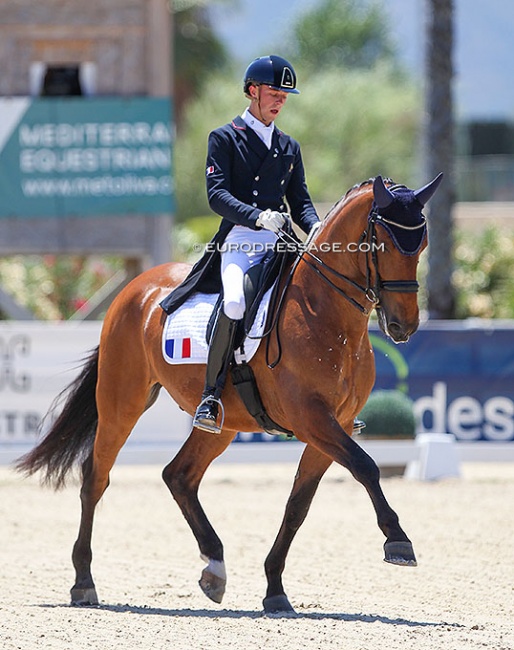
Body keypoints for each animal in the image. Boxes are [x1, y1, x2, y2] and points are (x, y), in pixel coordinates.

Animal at [16, 172, 440, 612]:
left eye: (422, 244)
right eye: (383, 244)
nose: (404, 326)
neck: (326, 316)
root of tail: (136, 288)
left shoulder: (332, 424)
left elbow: (298, 504)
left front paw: (275, 589)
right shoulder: (312, 419)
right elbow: (365, 466)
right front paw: (398, 541)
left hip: (223, 424)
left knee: (179, 476)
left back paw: (214, 568)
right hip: (122, 402)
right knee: (95, 477)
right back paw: (84, 582)